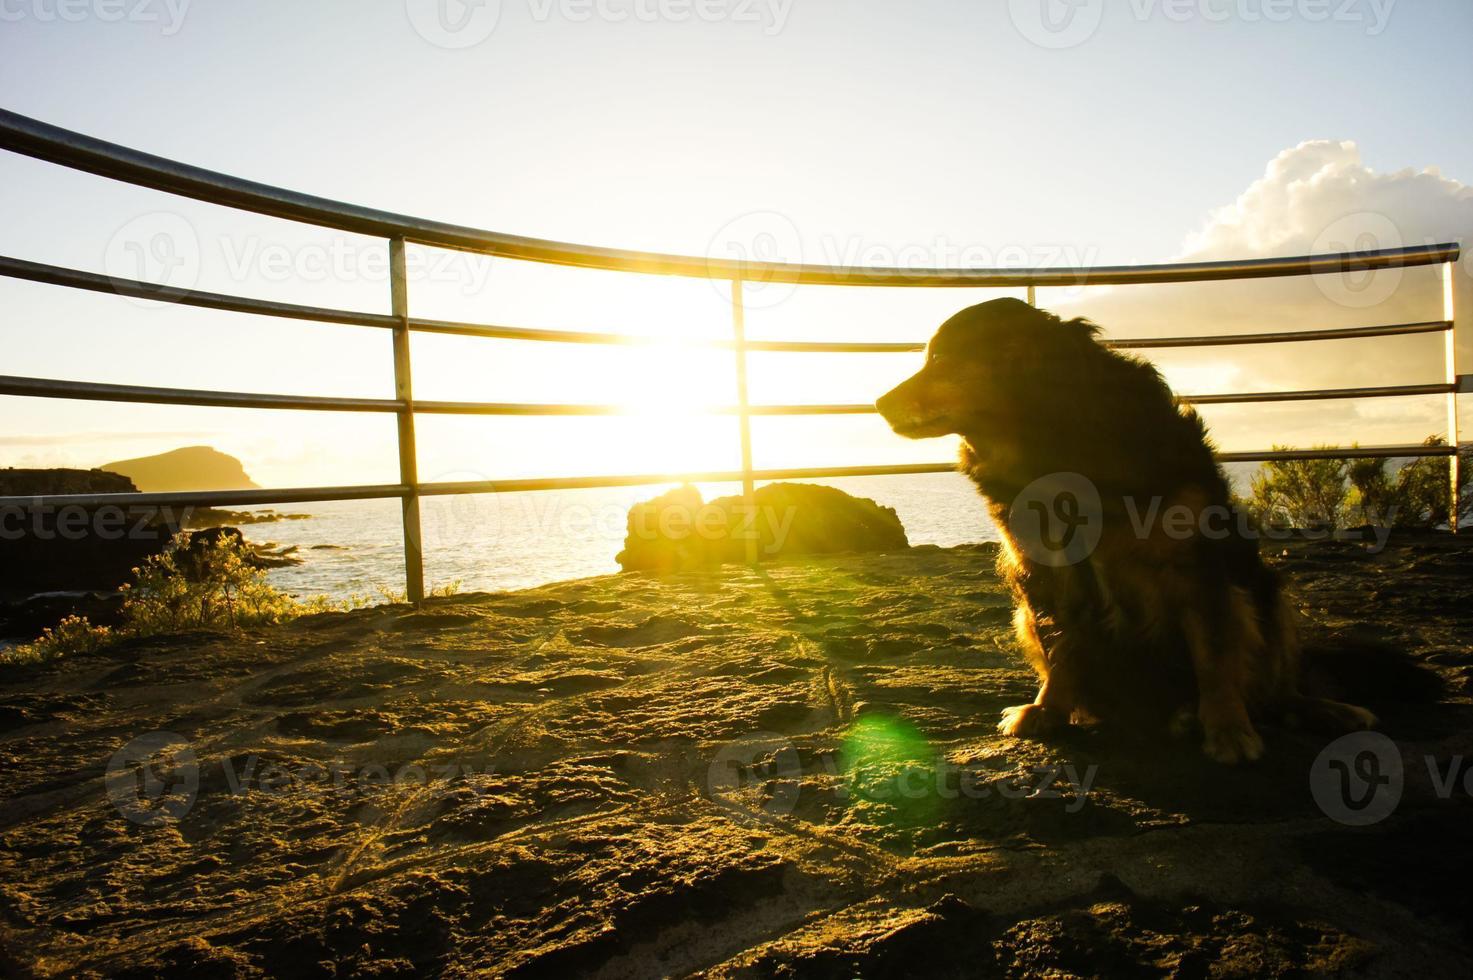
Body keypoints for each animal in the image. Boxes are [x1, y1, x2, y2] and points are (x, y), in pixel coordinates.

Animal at [872, 297, 1366, 766]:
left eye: (940, 358)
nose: (878, 404)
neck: (1053, 450)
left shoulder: (1197, 566)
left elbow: (1213, 654)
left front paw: (1227, 728)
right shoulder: (1048, 574)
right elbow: (1062, 649)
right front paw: (1047, 709)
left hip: (1266, 590)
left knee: (1278, 689)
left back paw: (1310, 709)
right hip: (1024, 616)